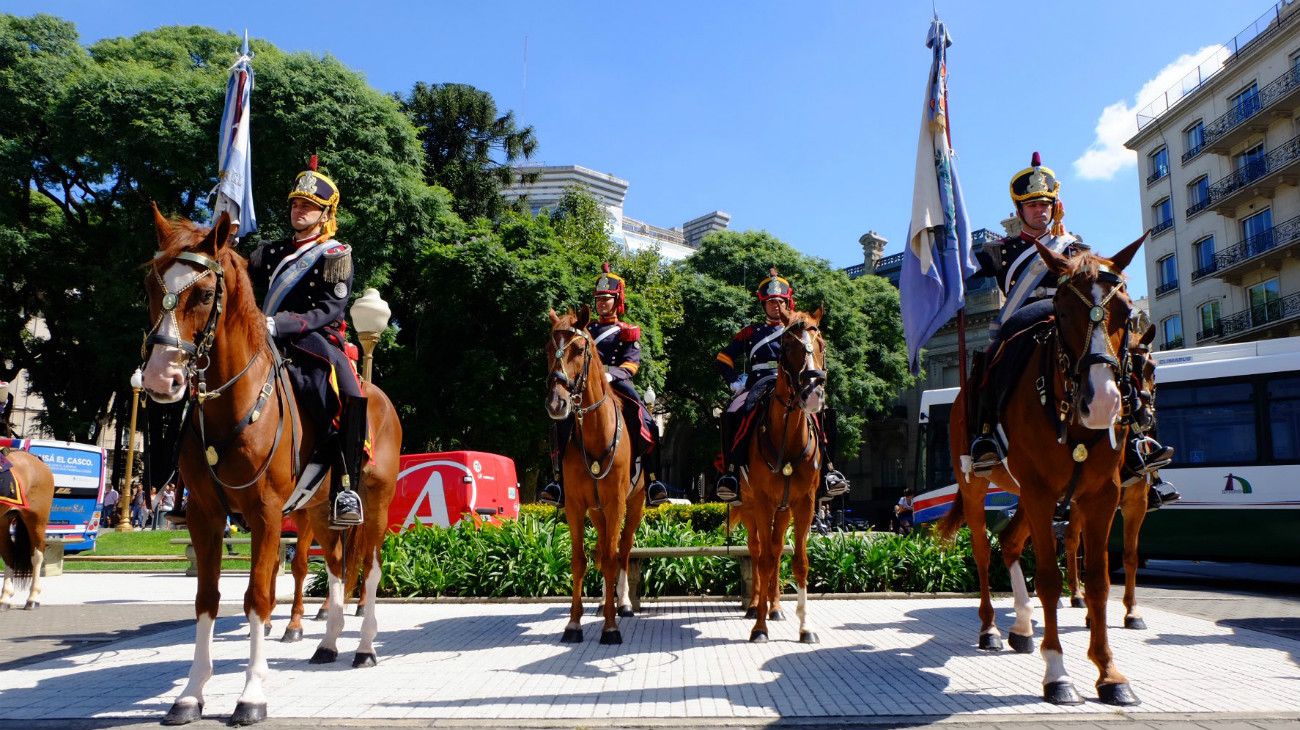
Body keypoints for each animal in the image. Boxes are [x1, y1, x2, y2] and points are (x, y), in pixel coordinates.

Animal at [142, 206, 400, 722]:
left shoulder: (264, 513)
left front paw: (252, 694)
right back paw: (328, 643)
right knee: (337, 568)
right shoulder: (205, 513)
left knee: (370, 570)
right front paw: (191, 693)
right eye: (152, 287)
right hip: (320, 509)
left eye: (204, 294)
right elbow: (206, 599)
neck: (231, 405)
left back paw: (364, 647)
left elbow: (258, 597)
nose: (161, 378)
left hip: (375, 506)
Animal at [543, 303, 644, 639]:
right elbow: (580, 560)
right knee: (601, 551)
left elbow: (613, 559)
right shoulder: (576, 506)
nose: (556, 402)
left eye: (577, 349)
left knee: (622, 551)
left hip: (634, 505)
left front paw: (611, 627)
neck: (595, 432)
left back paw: (622, 603)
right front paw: (574, 623)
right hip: (596, 511)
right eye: (548, 348)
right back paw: (602, 603)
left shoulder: (616, 504)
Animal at [941, 236, 1144, 701]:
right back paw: (991, 629)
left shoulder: (1099, 496)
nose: (1103, 403)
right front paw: (1057, 673)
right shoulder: (1040, 491)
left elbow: (1099, 580)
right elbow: (1049, 579)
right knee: (983, 553)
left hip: (1022, 494)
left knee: (1010, 543)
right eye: (1064, 312)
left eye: (1124, 311)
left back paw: (1020, 625)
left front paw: (1109, 672)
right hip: (979, 487)